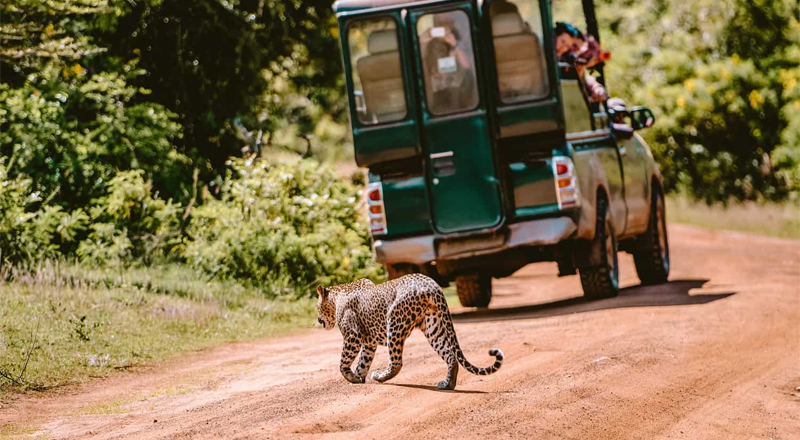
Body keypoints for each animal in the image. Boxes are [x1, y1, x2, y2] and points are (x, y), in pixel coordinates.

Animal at [316, 274, 504, 390]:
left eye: (317, 307)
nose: (318, 319)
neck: (337, 296)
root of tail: (431, 284)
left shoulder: (352, 336)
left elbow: (343, 362)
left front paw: (352, 377)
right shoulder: (369, 343)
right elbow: (363, 361)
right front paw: (358, 378)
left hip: (395, 321)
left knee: (396, 362)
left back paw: (379, 376)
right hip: (433, 326)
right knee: (450, 355)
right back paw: (448, 384)